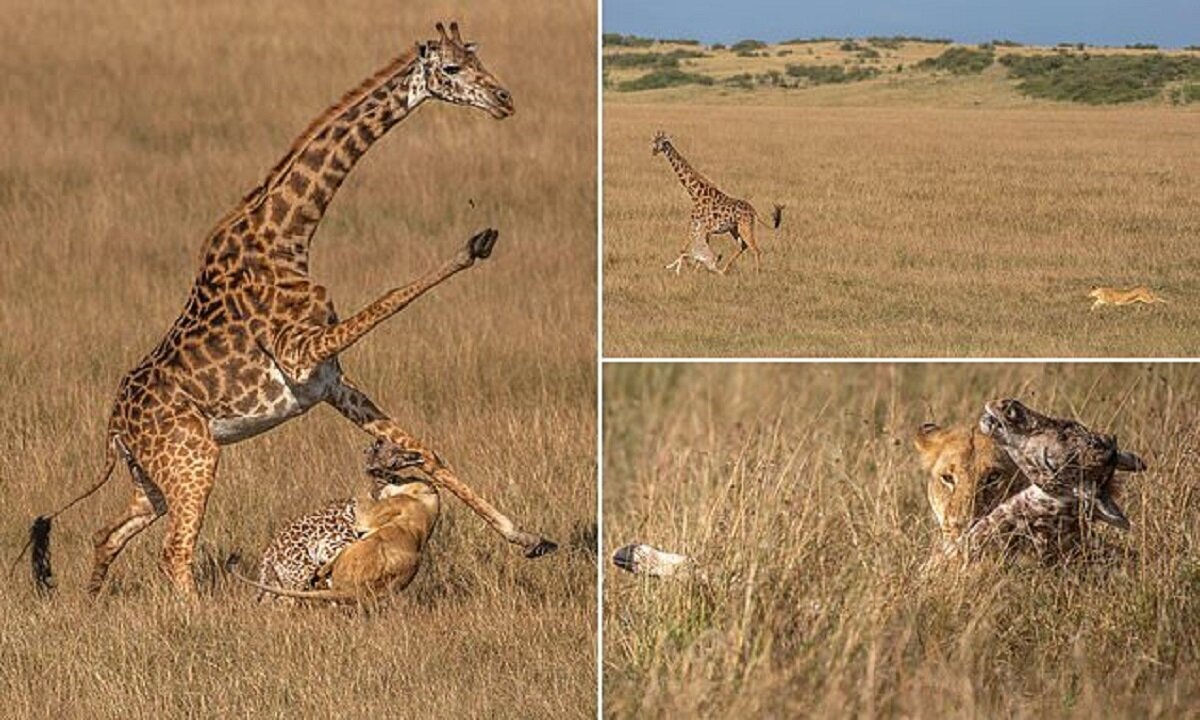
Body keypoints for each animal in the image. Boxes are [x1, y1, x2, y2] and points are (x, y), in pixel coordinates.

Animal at [19, 21, 552, 595]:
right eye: (450, 68)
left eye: (476, 59)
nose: (504, 100)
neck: (288, 234)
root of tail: (114, 427)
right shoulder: (301, 355)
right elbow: (389, 297)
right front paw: (470, 247)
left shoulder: (331, 382)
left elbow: (428, 450)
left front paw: (528, 538)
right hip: (194, 459)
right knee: (174, 551)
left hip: (154, 478)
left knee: (108, 533)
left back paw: (90, 600)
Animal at [652, 130, 782, 274]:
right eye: (653, 141)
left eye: (663, 142)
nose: (654, 151)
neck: (695, 194)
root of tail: (754, 211)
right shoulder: (701, 228)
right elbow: (690, 249)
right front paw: (695, 269)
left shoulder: (699, 227)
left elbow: (687, 249)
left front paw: (691, 270)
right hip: (735, 229)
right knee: (743, 246)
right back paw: (725, 270)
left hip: (745, 227)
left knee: (756, 249)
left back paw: (757, 273)